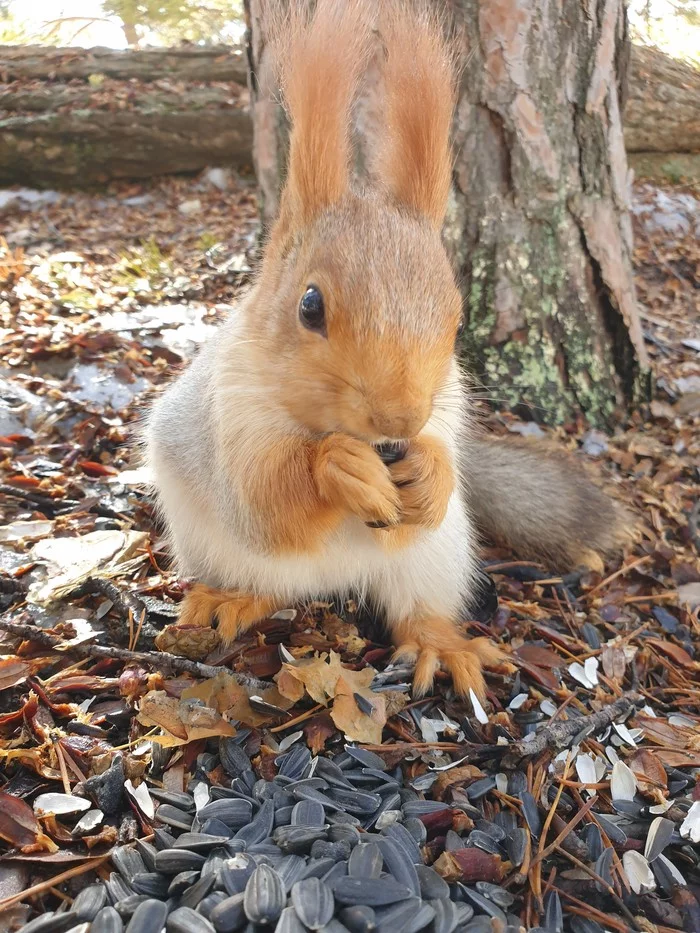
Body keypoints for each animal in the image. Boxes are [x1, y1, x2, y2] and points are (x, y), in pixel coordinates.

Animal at [145, 0, 632, 700]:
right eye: (309, 306)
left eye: (456, 313)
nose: (399, 419)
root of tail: (330, 588)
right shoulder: (228, 415)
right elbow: (265, 497)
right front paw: (337, 467)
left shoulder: (446, 407)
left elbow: (441, 454)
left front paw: (428, 472)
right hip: (219, 547)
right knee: (265, 583)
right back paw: (231, 599)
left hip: (432, 560)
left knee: (416, 614)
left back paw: (443, 647)